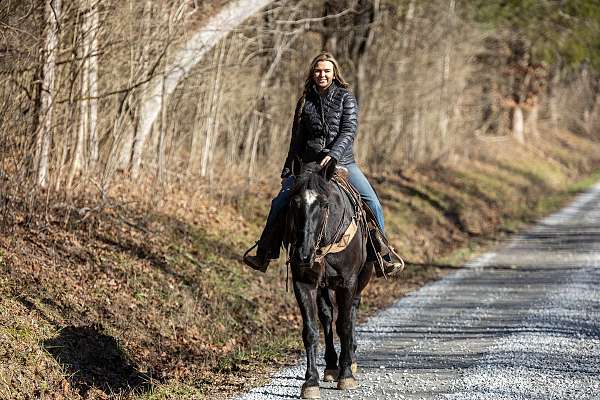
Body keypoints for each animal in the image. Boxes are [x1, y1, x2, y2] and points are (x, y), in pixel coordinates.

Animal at [284, 161, 372, 398]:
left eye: (324, 204)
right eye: (294, 202)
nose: (303, 255)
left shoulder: (348, 282)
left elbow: (344, 325)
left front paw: (346, 375)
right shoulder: (303, 283)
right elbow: (311, 331)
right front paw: (311, 381)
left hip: (361, 279)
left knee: (351, 312)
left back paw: (350, 359)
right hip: (323, 286)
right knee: (326, 315)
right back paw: (332, 366)